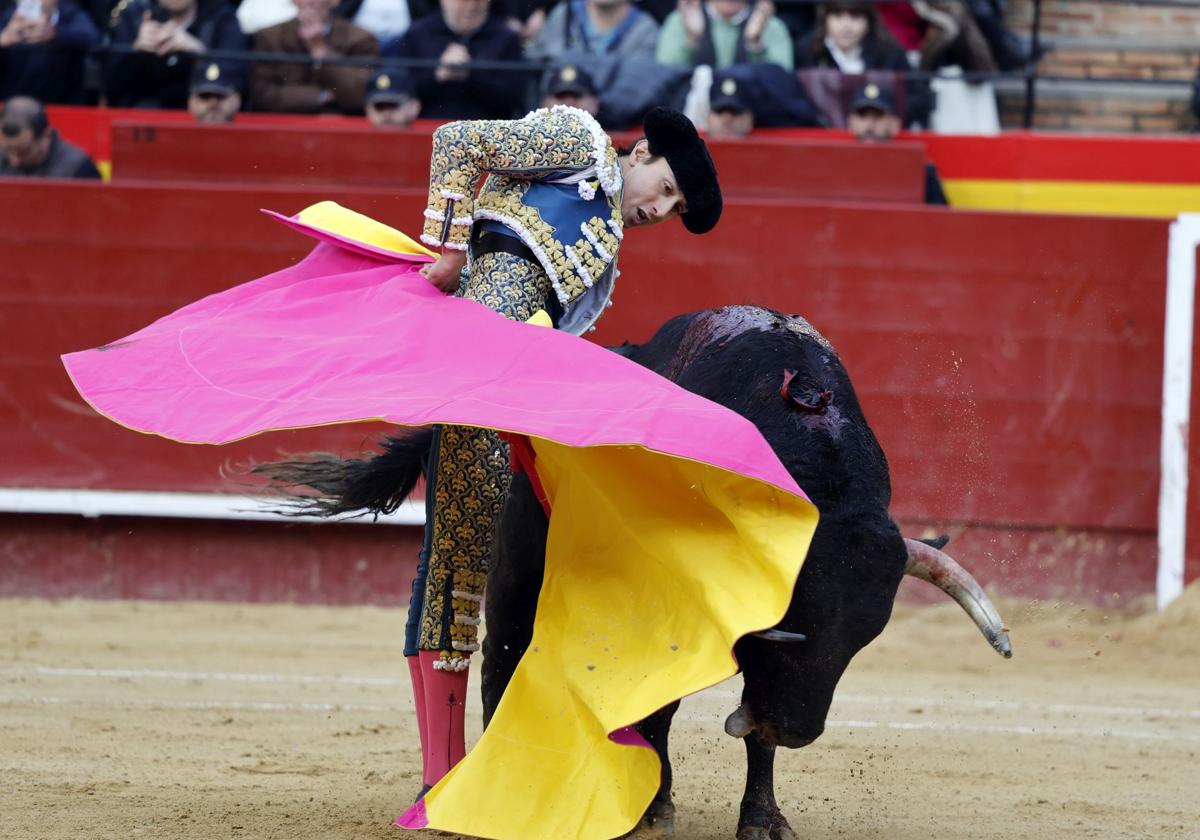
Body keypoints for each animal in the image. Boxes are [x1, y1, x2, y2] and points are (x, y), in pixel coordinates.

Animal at [255, 304, 1012, 840]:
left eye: (861, 641)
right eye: (785, 627)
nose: (798, 729)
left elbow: (728, 725)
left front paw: (763, 821)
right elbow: (663, 702)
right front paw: (654, 809)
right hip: (508, 567)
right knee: (496, 657)